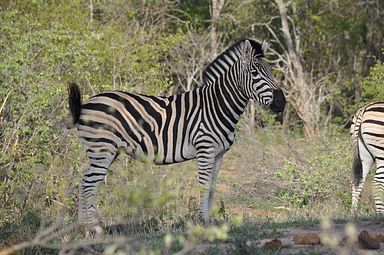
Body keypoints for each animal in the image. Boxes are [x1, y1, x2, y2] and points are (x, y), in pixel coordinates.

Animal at [67, 38, 286, 232]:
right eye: (254, 72)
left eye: (270, 71)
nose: (281, 102)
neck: (217, 106)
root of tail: (85, 104)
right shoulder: (205, 149)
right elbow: (204, 186)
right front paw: (202, 222)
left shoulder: (219, 154)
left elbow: (212, 187)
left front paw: (209, 221)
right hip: (102, 148)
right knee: (89, 185)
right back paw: (95, 229)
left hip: (106, 151)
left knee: (83, 183)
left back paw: (82, 228)